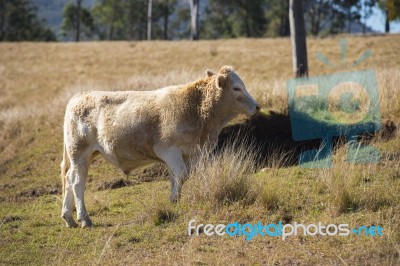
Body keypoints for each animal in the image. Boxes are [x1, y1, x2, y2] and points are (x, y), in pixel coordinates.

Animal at [59, 66, 260, 227]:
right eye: (236, 88)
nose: (257, 106)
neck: (195, 109)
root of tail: (77, 98)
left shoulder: (191, 153)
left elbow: (177, 177)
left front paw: (175, 200)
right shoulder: (170, 150)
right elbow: (181, 174)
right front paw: (174, 200)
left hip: (85, 156)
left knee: (69, 179)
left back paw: (69, 218)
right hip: (80, 153)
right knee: (77, 182)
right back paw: (84, 219)